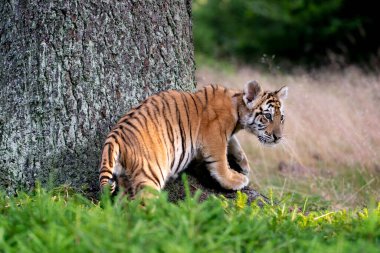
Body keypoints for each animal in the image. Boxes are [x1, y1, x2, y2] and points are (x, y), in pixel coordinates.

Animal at [98, 80, 288, 198]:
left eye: (282, 118)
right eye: (268, 116)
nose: (278, 138)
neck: (238, 108)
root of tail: (114, 137)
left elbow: (234, 143)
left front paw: (244, 164)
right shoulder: (214, 137)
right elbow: (220, 162)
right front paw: (235, 180)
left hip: (125, 179)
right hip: (150, 172)